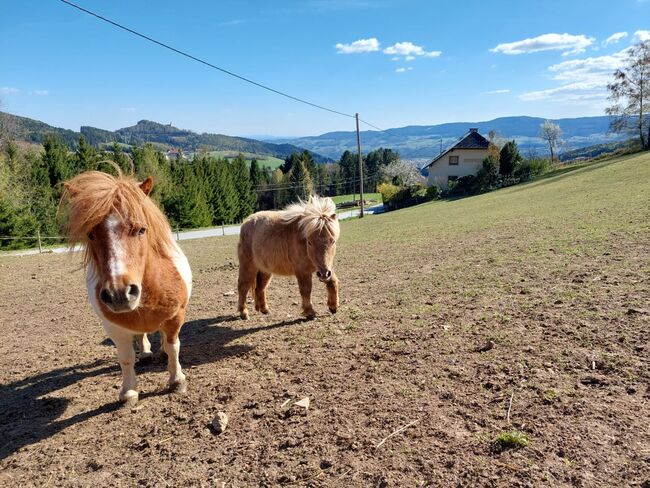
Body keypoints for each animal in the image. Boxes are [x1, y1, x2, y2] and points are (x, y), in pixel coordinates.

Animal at [62, 170, 191, 406]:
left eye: (141, 230)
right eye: (91, 234)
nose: (119, 294)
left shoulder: (176, 316)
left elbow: (173, 346)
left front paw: (177, 380)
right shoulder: (114, 327)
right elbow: (126, 357)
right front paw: (129, 392)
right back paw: (146, 353)